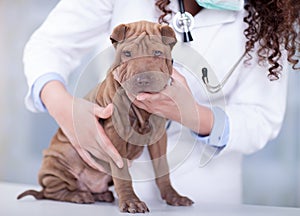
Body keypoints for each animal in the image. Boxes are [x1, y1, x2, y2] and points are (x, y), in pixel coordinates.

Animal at [17, 21, 193, 213]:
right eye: (127, 53)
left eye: (157, 53)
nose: (142, 80)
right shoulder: (115, 136)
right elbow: (123, 173)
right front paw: (131, 202)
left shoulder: (159, 136)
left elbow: (162, 168)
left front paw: (173, 196)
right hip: (59, 162)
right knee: (53, 191)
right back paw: (78, 195)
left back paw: (101, 195)